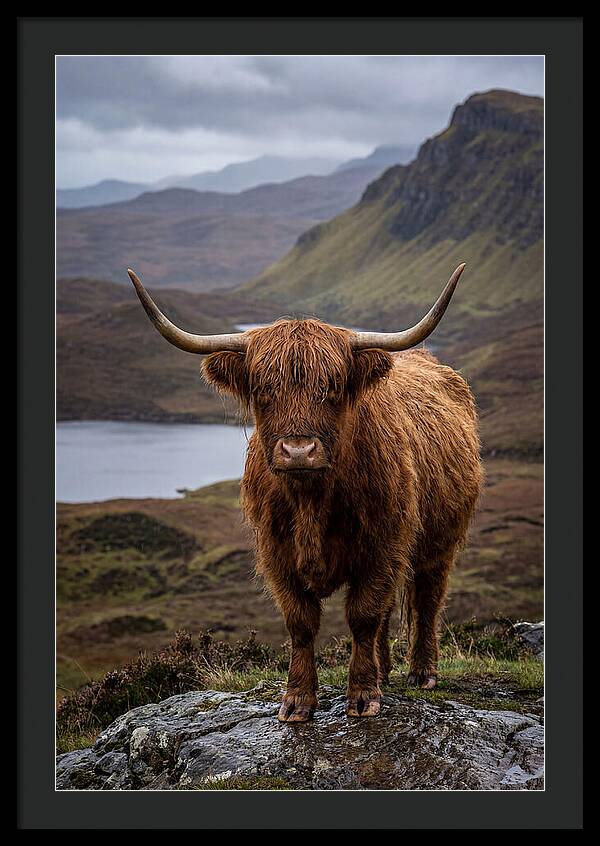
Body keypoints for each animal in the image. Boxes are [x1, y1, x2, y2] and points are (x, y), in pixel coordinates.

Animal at [128, 265, 483, 722]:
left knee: (427, 598)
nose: (298, 450)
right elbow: (301, 622)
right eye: (263, 388)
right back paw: (386, 670)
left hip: (439, 541)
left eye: (332, 386)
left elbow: (363, 615)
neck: (312, 500)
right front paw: (298, 700)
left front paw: (363, 695)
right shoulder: (277, 553)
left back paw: (422, 672)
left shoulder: (383, 546)